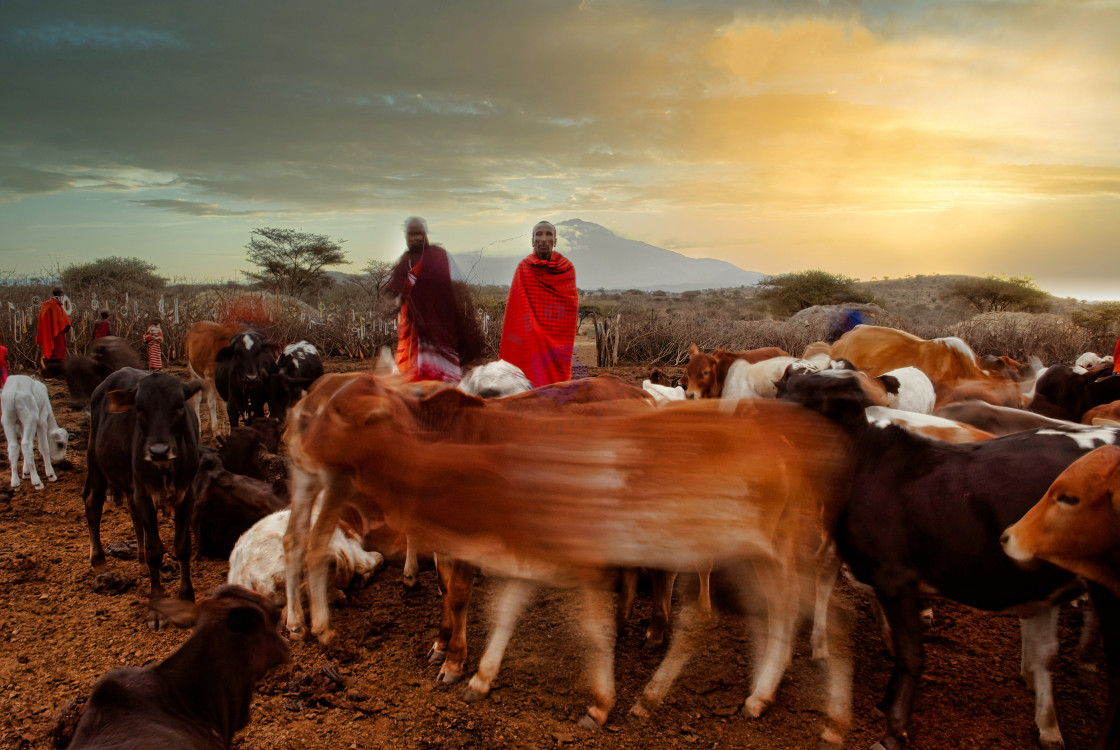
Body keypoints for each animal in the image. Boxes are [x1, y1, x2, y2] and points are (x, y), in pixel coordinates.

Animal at [86, 367, 204, 631]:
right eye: (139, 408)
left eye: (179, 405)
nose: (159, 451)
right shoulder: (145, 494)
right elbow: (155, 551)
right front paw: (157, 607)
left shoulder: (187, 494)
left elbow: (182, 546)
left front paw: (185, 600)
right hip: (96, 463)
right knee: (93, 504)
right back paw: (99, 560)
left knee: (131, 510)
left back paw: (138, 557)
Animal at [779, 369, 1120, 750]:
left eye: (810, 392)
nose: (788, 376)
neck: (866, 463)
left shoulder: (895, 578)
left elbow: (912, 653)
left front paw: (894, 728)